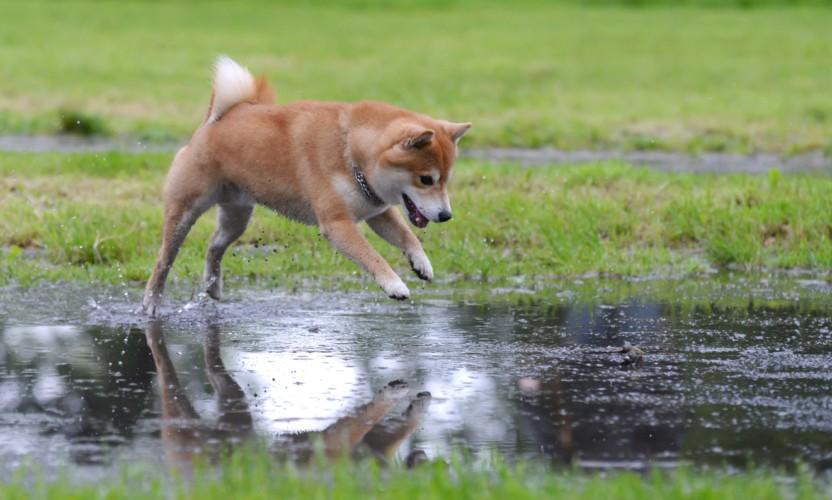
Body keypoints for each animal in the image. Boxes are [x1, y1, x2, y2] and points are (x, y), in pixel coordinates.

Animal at [141, 56, 468, 314]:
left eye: (446, 180)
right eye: (426, 179)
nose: (446, 216)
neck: (351, 152)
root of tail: (215, 121)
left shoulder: (377, 211)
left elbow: (408, 237)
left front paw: (422, 263)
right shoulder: (337, 224)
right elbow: (371, 255)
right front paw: (394, 284)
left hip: (237, 216)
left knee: (214, 246)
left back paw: (213, 286)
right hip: (185, 212)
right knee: (164, 260)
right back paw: (152, 302)